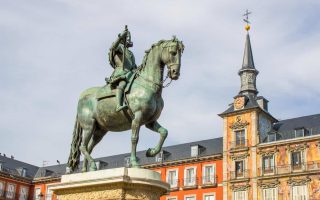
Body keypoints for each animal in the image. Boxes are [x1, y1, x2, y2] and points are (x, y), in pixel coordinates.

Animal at [66, 37, 184, 172]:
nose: (175, 73)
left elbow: (164, 132)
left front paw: (151, 152)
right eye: (173, 52)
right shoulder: (137, 117)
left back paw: (87, 170)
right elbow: (134, 139)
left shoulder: (150, 121)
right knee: (83, 147)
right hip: (89, 126)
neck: (149, 86)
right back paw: (91, 166)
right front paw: (134, 162)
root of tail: (82, 98)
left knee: (89, 148)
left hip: (100, 130)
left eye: (180, 53)